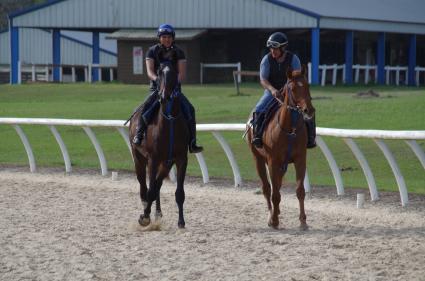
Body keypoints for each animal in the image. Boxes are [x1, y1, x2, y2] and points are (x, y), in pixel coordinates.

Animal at [128, 52, 190, 228]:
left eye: (174, 73)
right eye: (160, 72)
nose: (164, 96)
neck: (169, 122)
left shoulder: (180, 159)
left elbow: (179, 192)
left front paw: (181, 222)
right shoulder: (153, 159)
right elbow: (150, 189)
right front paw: (144, 217)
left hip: (166, 163)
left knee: (157, 184)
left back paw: (157, 212)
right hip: (139, 157)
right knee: (143, 184)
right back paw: (145, 208)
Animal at [245, 68, 314, 230]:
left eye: (307, 85)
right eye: (293, 88)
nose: (308, 110)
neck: (290, 129)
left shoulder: (300, 159)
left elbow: (300, 191)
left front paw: (303, 221)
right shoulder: (272, 161)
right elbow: (274, 193)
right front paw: (275, 220)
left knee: (278, 184)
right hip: (258, 158)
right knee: (267, 188)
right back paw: (271, 216)